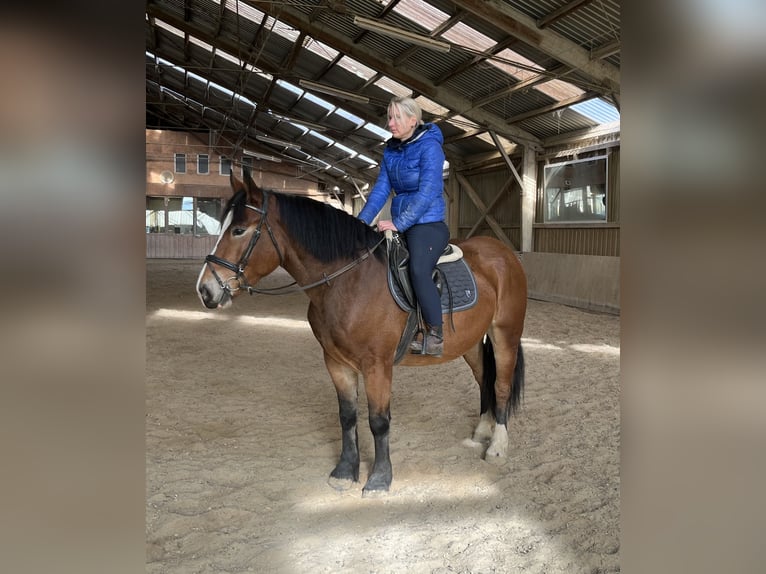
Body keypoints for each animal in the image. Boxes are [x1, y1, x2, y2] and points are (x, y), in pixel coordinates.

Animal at [197, 170, 527, 495]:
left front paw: (379, 479)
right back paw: (481, 432)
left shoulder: (377, 365)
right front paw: (345, 472)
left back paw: (497, 447)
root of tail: (504, 253)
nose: (206, 290)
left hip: (505, 335)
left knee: (500, 385)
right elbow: (347, 416)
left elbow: (379, 421)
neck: (347, 281)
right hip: (471, 342)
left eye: (239, 230)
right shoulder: (336, 361)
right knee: (484, 379)